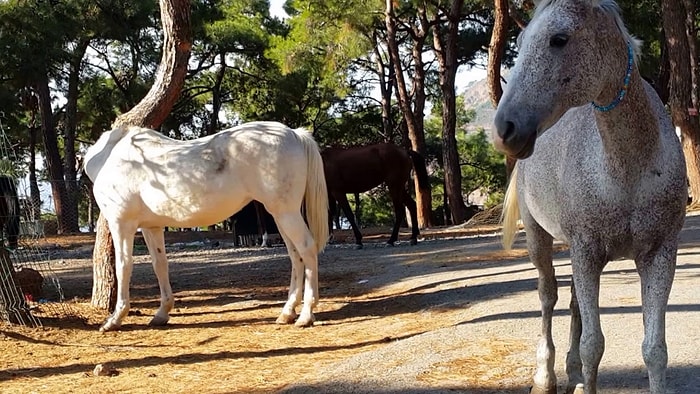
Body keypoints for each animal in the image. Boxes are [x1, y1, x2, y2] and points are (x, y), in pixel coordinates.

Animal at [83, 121, 330, 330]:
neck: (111, 157)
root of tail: (294, 134)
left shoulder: (121, 223)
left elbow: (123, 266)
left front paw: (115, 319)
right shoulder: (151, 227)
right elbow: (160, 264)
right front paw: (162, 313)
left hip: (286, 214)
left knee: (307, 249)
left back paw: (306, 314)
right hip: (280, 215)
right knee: (295, 255)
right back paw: (287, 312)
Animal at [494, 0, 688, 394]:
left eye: (559, 39)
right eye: (519, 41)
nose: (505, 127)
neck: (627, 172)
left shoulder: (659, 254)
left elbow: (654, 349)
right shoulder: (586, 251)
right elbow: (593, 344)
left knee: (571, 304)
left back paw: (573, 375)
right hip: (539, 238)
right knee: (548, 296)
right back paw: (545, 376)